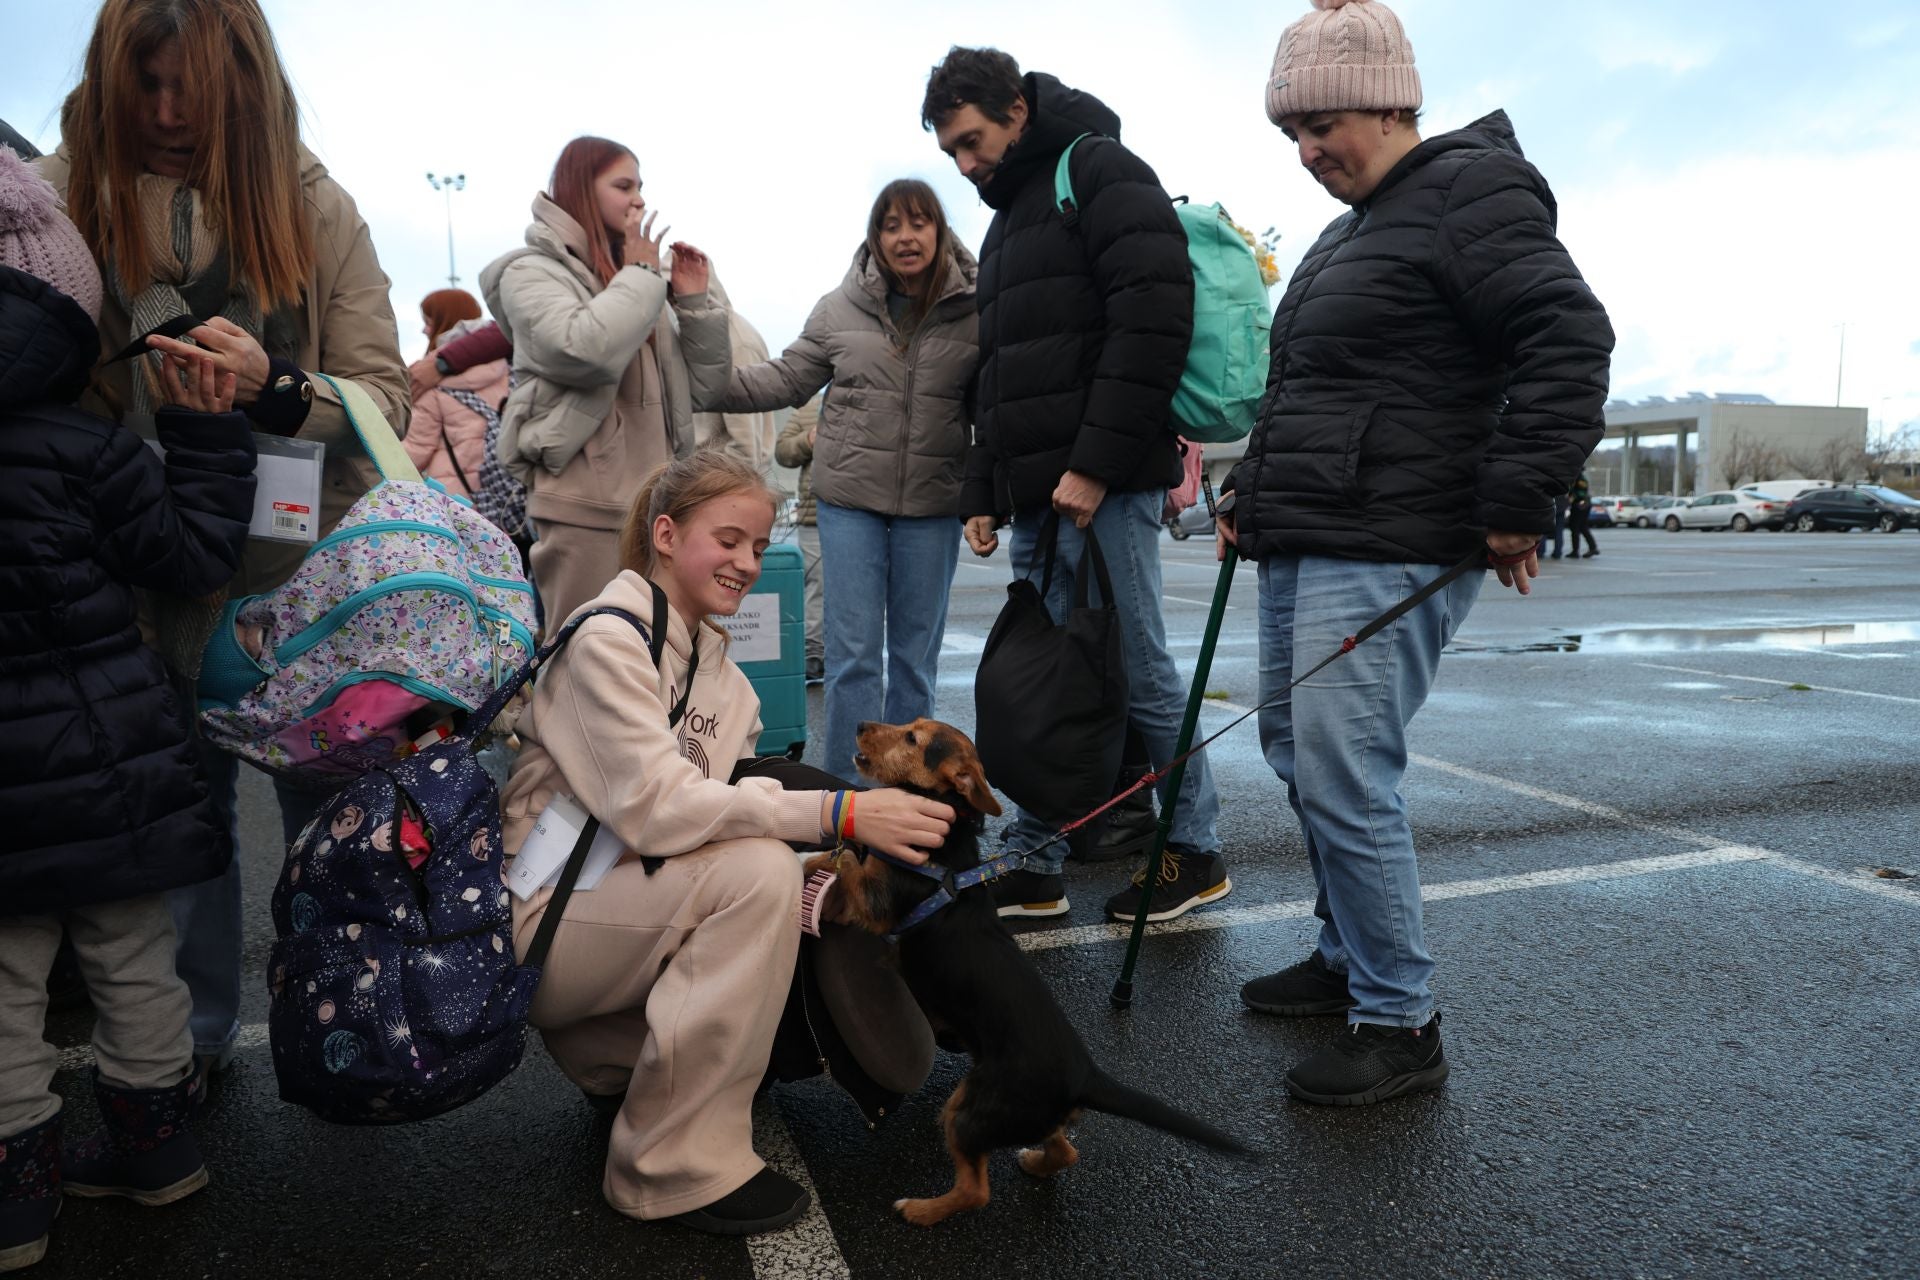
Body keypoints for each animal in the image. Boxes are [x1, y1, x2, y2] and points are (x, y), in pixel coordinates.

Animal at [806, 721, 1244, 1228]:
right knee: (1065, 1151)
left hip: (970, 1109)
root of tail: (1085, 1077)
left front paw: (825, 851)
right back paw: (1034, 1162)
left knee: (976, 1190)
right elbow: (842, 863)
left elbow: (850, 862)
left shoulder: (875, 900)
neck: (946, 827)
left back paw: (922, 1209)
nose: (860, 727)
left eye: (913, 738)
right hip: (1023, 1115)